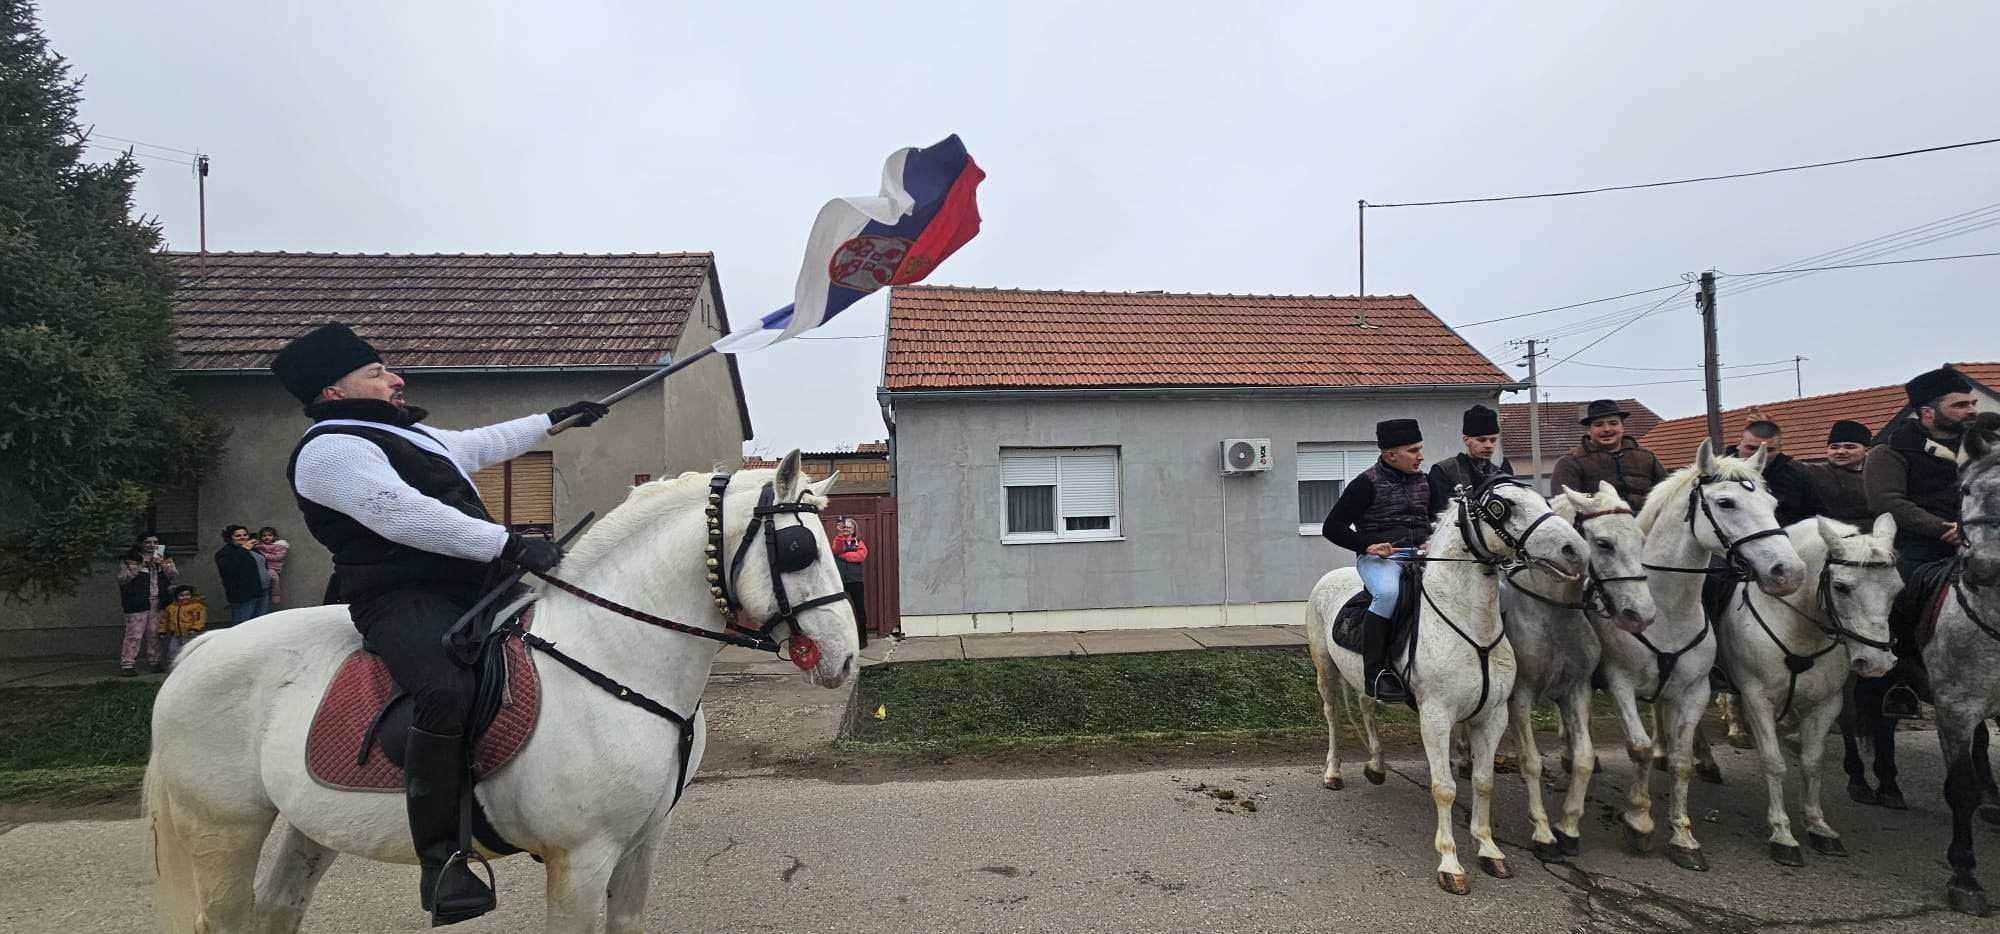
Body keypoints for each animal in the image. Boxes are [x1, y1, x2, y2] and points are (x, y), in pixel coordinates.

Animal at [141, 450, 860, 932]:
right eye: (797, 547)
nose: (845, 655)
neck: (613, 654)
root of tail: (202, 650)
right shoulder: (581, 861)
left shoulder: (639, 847)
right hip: (224, 830)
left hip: (306, 826)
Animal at [1304, 478, 1584, 896]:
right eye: (1502, 506)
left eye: (1542, 498)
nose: (1574, 549)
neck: (1470, 623)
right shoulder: (1436, 716)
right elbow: (1444, 787)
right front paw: (1450, 864)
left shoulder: (1493, 716)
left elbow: (1483, 782)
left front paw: (1489, 849)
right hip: (1327, 671)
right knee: (1334, 718)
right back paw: (1334, 773)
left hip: (1363, 676)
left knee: (1368, 707)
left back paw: (1376, 765)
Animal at [1504, 486, 1656, 868]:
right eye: (1603, 543)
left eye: (1641, 539)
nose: (1641, 614)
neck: (1551, 612)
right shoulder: (1520, 695)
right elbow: (1530, 762)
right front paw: (1543, 833)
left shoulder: (1577, 690)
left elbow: (1586, 758)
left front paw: (1569, 828)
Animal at [1592, 442, 1816, 872]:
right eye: (1726, 502)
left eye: (1772, 503)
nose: (1790, 572)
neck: (1667, 608)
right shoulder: (1618, 681)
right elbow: (1637, 748)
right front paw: (1639, 821)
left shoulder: (1695, 689)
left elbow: (1682, 761)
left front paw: (1683, 837)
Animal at [1712, 516, 1896, 868]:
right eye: (1842, 587)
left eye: (1897, 589)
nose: (1877, 662)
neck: (1800, 629)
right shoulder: (1758, 699)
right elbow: (1773, 762)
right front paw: (1782, 834)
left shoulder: (1826, 704)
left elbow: (1812, 762)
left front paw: (1818, 826)